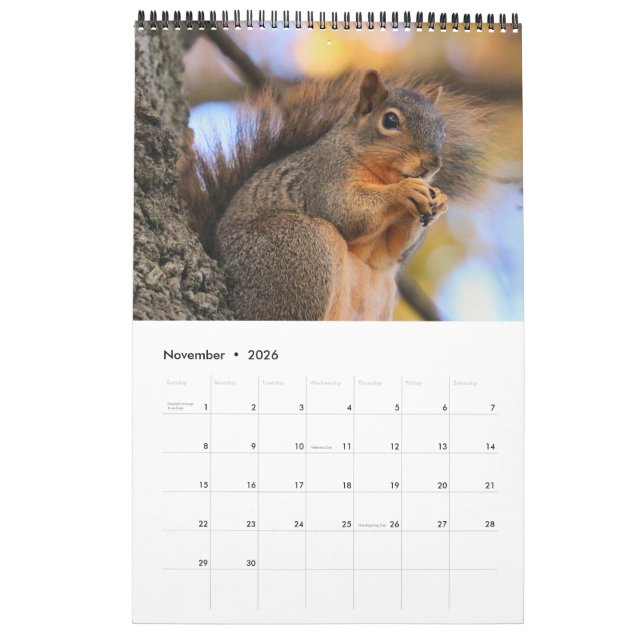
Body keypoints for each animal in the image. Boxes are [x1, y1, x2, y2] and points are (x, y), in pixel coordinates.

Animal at [182, 70, 493, 320]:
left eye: (443, 132)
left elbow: (394, 249)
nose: (432, 164)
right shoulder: (325, 174)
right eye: (390, 120)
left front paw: (439, 200)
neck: (381, 175)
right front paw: (403, 191)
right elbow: (346, 210)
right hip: (300, 247)